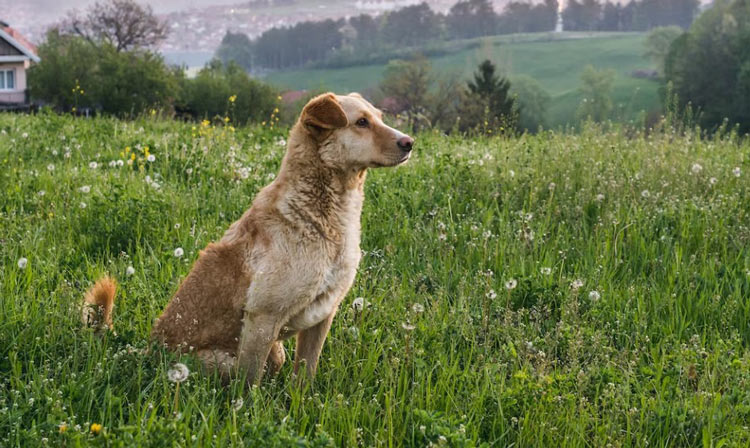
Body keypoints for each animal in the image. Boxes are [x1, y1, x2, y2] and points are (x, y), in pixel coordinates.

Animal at [84, 93, 414, 384]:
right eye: (361, 122)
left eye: (380, 118)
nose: (410, 142)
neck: (323, 215)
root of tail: (146, 352)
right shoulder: (262, 319)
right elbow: (248, 389)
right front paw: (249, 414)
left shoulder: (323, 315)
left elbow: (305, 377)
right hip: (223, 359)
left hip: (276, 352)